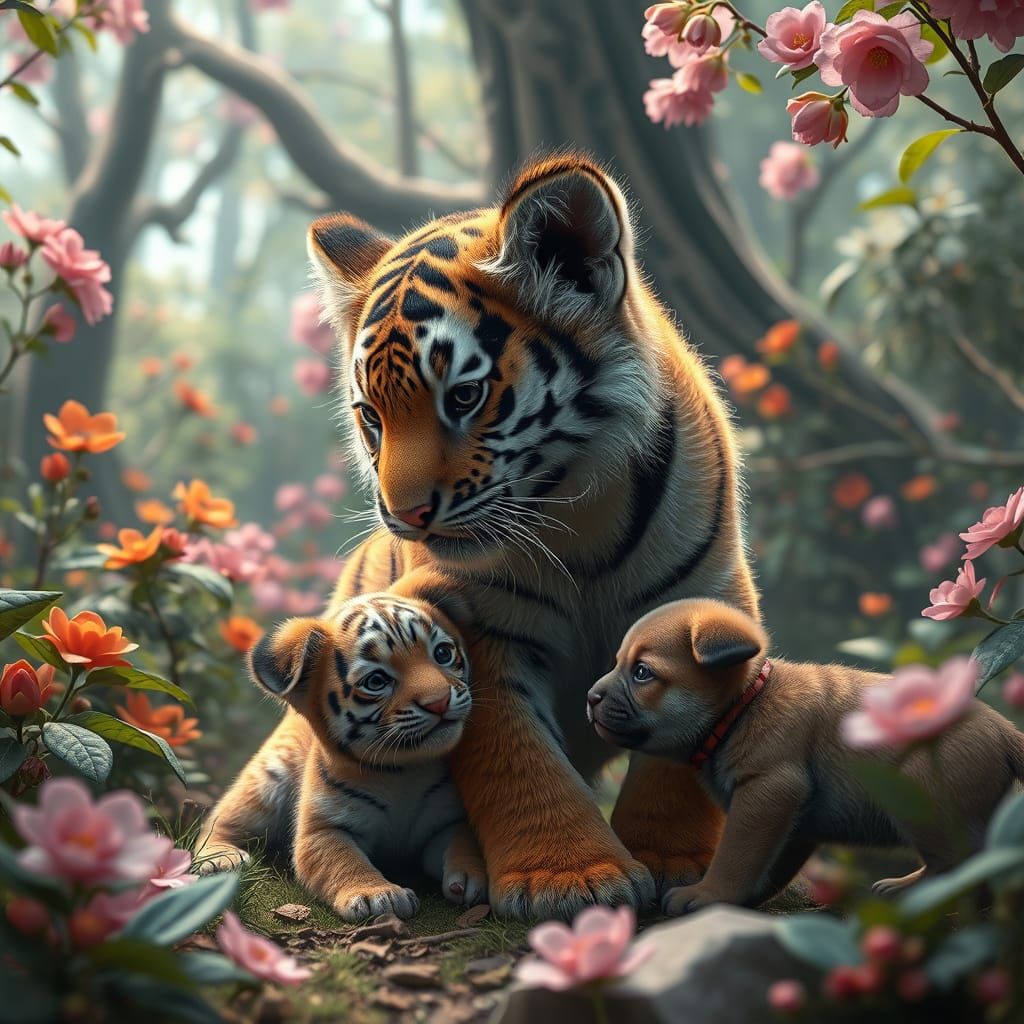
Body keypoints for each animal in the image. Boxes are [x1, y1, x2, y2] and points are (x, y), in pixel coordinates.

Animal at [196, 593, 487, 921]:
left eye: (443, 653)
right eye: (376, 681)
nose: (439, 702)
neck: (403, 769)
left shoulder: (447, 821)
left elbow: (461, 841)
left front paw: (469, 878)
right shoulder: (323, 829)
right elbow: (343, 860)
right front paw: (378, 895)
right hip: (265, 783)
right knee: (220, 820)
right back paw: (221, 858)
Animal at [300, 151, 761, 920]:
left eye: (463, 396)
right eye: (372, 417)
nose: (403, 515)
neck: (575, 515)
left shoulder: (704, 597)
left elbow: (679, 745)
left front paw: (674, 861)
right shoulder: (475, 624)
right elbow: (517, 754)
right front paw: (571, 877)